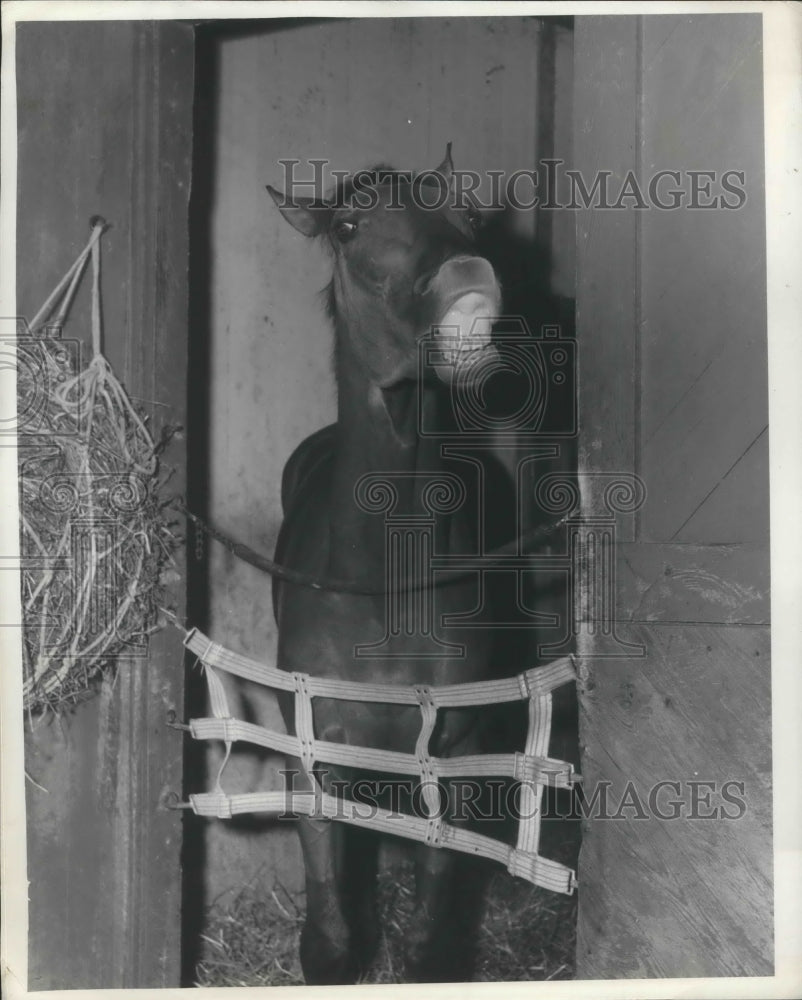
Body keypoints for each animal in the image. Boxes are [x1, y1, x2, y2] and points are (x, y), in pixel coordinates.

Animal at [268, 148, 506, 984]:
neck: (385, 589)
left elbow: (433, 947)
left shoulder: (456, 757)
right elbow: (331, 946)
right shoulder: (317, 758)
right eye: (347, 226)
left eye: (469, 215)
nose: (468, 277)